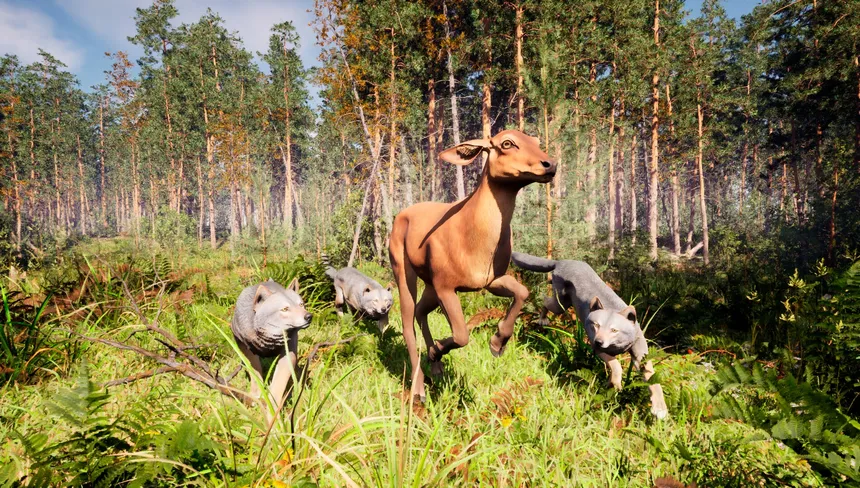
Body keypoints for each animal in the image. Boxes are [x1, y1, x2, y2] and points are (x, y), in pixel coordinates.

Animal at [231, 277, 312, 422]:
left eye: (301, 304)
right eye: (285, 309)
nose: (309, 316)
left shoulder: (288, 353)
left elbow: (277, 386)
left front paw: (273, 415)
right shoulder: (243, 344)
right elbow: (255, 372)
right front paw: (256, 396)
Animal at [511, 251, 668, 419]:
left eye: (614, 330)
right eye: (596, 325)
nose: (599, 341)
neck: (619, 344)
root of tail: (561, 261)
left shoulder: (640, 357)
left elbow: (653, 380)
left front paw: (660, 408)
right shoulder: (597, 349)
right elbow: (616, 364)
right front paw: (617, 383)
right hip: (560, 305)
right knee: (544, 300)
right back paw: (542, 319)